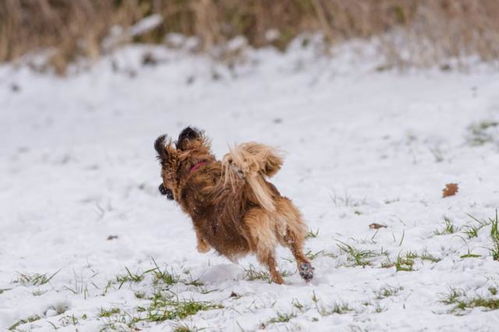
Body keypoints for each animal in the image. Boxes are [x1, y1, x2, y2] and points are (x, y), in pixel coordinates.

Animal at [154, 127, 314, 282]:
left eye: (162, 177)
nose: (159, 188)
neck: (195, 168)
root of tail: (250, 194)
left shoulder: (201, 232)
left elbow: (201, 245)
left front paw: (201, 248)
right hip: (288, 225)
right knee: (297, 250)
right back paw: (305, 270)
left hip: (260, 238)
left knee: (272, 265)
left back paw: (279, 282)